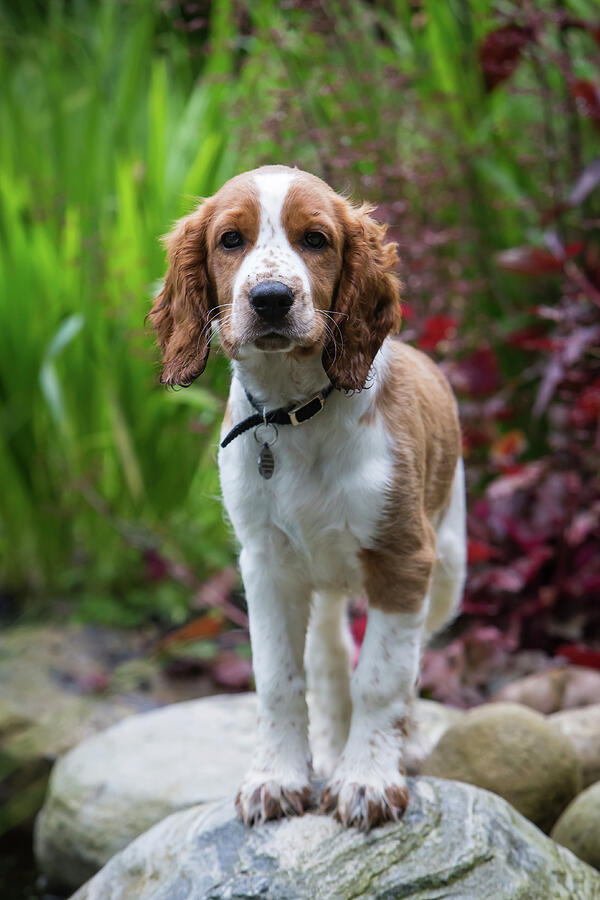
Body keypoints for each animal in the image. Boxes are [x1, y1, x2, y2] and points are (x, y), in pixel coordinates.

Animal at [149, 163, 464, 828]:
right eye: (230, 240)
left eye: (315, 240)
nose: (271, 298)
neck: (294, 414)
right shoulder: (266, 563)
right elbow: (279, 677)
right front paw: (278, 777)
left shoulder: (404, 560)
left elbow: (384, 678)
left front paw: (368, 780)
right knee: (329, 654)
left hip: (449, 567)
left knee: (413, 655)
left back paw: (402, 744)